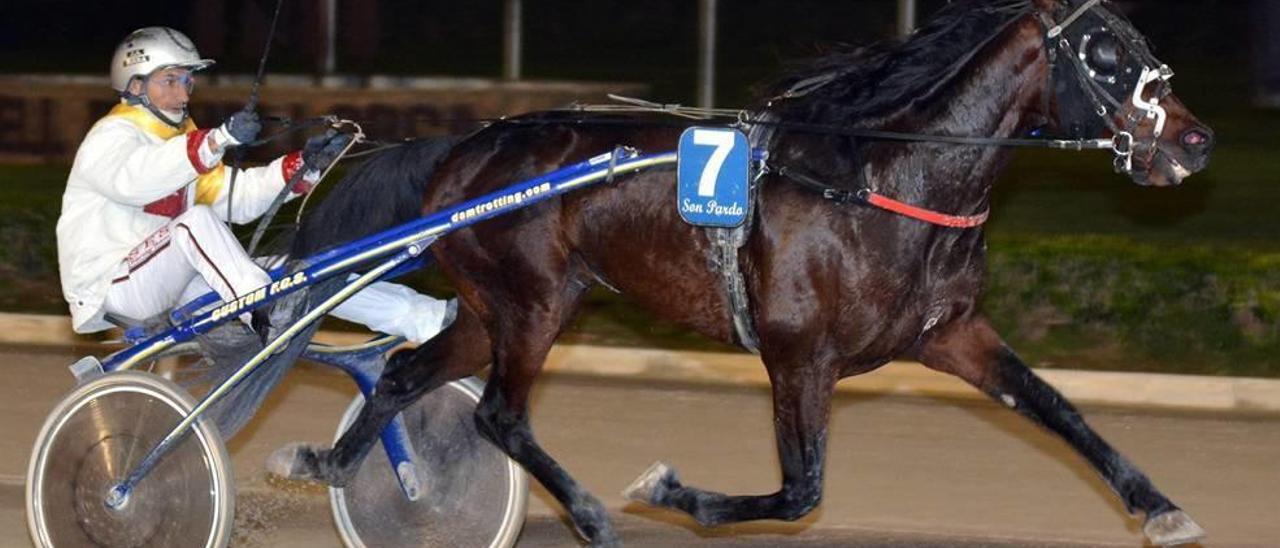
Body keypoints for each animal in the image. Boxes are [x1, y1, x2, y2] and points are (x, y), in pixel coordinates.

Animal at [277, 1, 1208, 542]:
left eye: (1142, 45)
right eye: (1105, 55)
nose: (1195, 141)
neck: (887, 179)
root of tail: (463, 147)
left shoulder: (951, 335)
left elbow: (1055, 406)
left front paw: (1161, 506)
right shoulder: (799, 355)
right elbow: (800, 491)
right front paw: (668, 490)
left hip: (493, 309)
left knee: (405, 373)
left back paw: (328, 465)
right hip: (532, 302)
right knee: (499, 416)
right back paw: (591, 517)